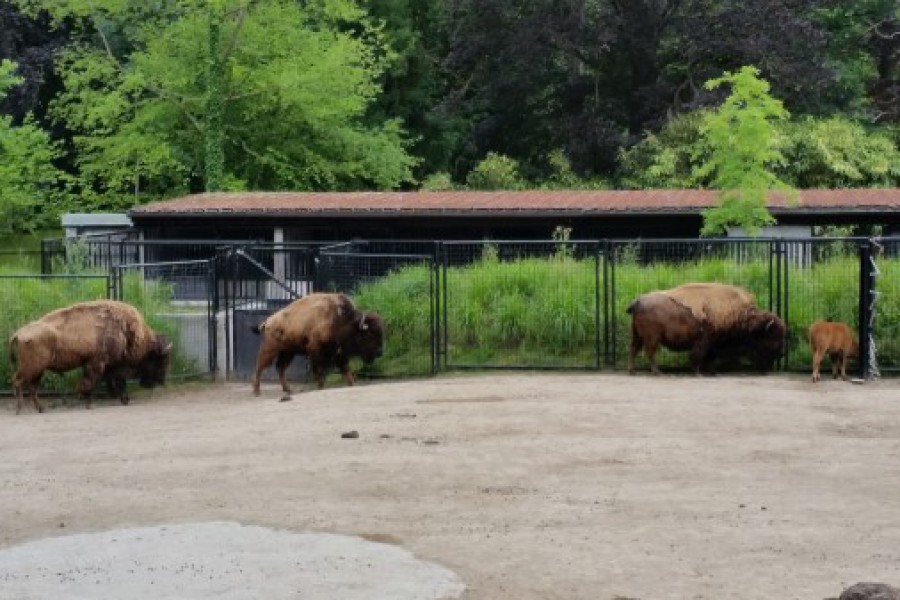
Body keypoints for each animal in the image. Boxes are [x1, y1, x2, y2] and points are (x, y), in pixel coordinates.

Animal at [9, 298, 171, 412]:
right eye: (161, 359)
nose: (160, 381)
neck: (127, 332)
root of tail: (18, 334)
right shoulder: (98, 363)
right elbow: (92, 382)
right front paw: (89, 402)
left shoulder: (105, 365)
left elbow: (110, 381)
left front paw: (121, 398)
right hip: (32, 368)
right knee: (19, 382)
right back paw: (19, 409)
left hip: (37, 370)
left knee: (31, 386)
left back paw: (40, 409)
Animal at [250, 292, 384, 396]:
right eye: (369, 334)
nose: (380, 352)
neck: (340, 320)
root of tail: (268, 321)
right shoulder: (316, 353)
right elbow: (320, 373)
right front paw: (320, 388)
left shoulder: (340, 355)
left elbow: (346, 373)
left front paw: (351, 386)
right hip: (271, 349)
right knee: (260, 366)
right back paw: (257, 391)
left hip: (288, 352)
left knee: (280, 368)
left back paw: (288, 390)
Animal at [628, 282, 784, 376]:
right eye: (773, 336)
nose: (780, 354)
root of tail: (638, 300)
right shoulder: (706, 340)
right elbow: (700, 355)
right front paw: (699, 372)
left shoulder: (712, 344)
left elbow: (709, 356)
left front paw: (711, 371)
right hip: (652, 338)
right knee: (650, 353)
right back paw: (657, 372)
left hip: (638, 336)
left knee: (634, 350)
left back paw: (633, 371)